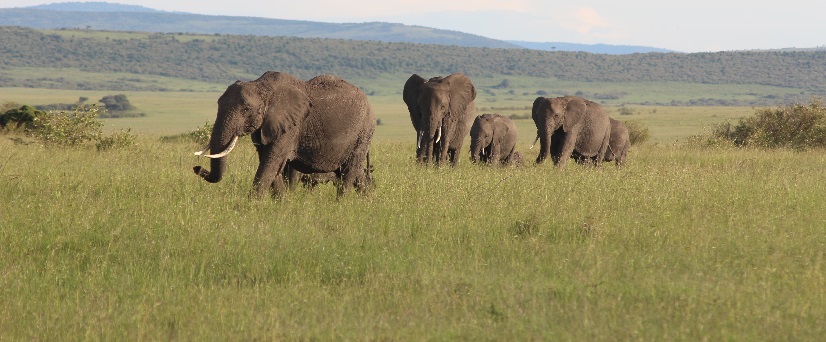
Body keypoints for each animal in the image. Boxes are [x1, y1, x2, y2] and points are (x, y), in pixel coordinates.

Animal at [193, 71, 374, 199]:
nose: (197, 168)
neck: (262, 85)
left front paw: (250, 207)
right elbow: (270, 163)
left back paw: (340, 204)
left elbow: (271, 161)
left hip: (363, 132)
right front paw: (282, 204)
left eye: (246, 110)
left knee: (349, 171)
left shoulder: (292, 126)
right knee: (357, 172)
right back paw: (367, 202)